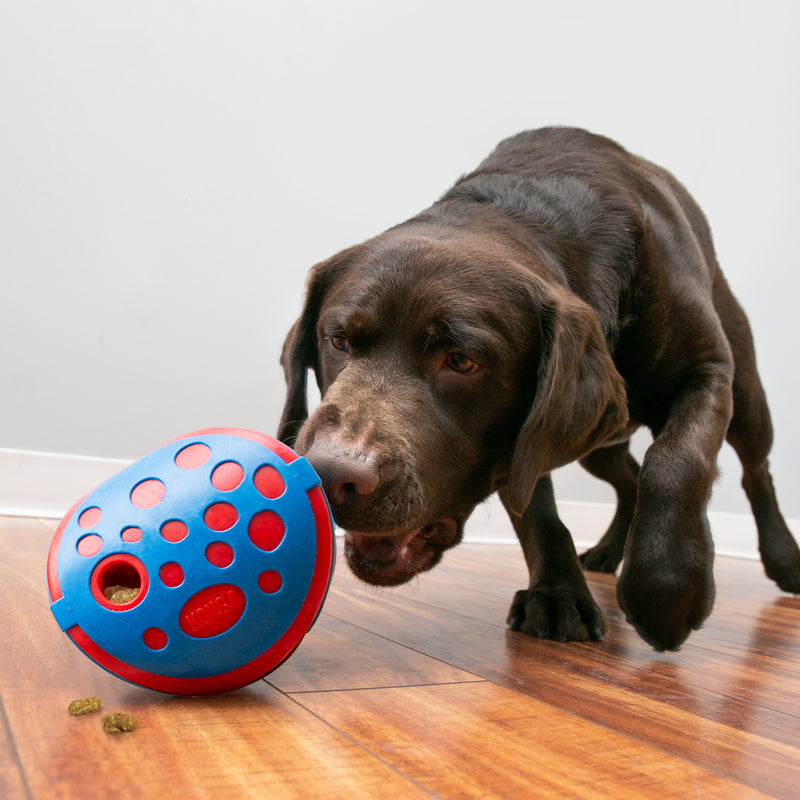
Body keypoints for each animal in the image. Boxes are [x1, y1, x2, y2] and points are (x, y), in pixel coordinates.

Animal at [276, 126, 800, 648]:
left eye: (462, 362)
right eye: (339, 341)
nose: (330, 475)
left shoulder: (707, 369)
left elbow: (677, 461)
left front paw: (666, 590)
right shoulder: (530, 442)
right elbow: (536, 507)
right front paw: (558, 594)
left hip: (745, 393)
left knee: (755, 472)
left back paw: (784, 558)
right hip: (597, 442)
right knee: (628, 477)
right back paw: (608, 552)